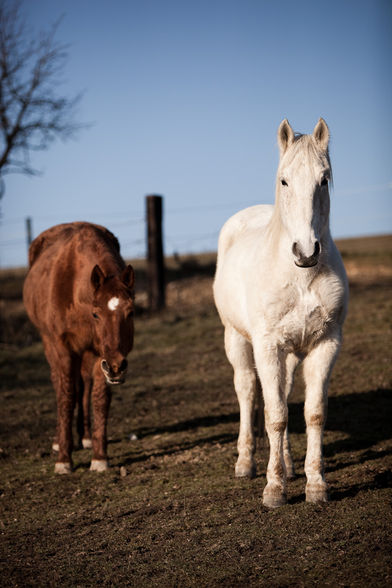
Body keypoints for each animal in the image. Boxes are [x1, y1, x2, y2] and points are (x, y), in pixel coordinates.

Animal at [24, 220, 136, 474]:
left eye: (131, 312)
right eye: (96, 313)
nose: (117, 367)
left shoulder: (100, 355)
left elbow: (99, 397)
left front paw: (100, 457)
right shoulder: (63, 348)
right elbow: (65, 396)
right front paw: (64, 460)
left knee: (83, 385)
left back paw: (84, 437)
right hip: (50, 345)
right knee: (61, 384)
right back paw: (60, 442)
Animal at [213, 118, 348, 506]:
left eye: (324, 179)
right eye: (284, 180)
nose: (306, 251)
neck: (300, 277)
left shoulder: (325, 345)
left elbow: (312, 414)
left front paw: (315, 484)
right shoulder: (267, 346)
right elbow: (274, 416)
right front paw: (274, 489)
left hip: (288, 353)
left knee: (285, 393)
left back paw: (287, 464)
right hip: (237, 340)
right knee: (247, 390)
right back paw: (246, 463)